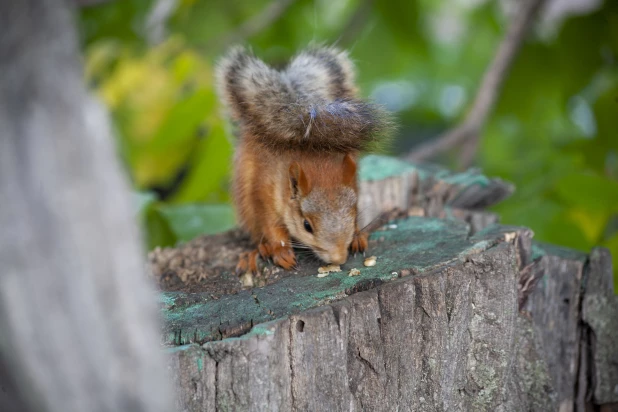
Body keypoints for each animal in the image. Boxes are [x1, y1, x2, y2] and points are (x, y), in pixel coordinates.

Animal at [215, 46, 390, 274]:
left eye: (354, 215)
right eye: (307, 226)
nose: (339, 258)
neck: (315, 162)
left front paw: (359, 236)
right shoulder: (263, 191)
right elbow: (271, 226)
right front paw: (281, 252)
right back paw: (261, 249)